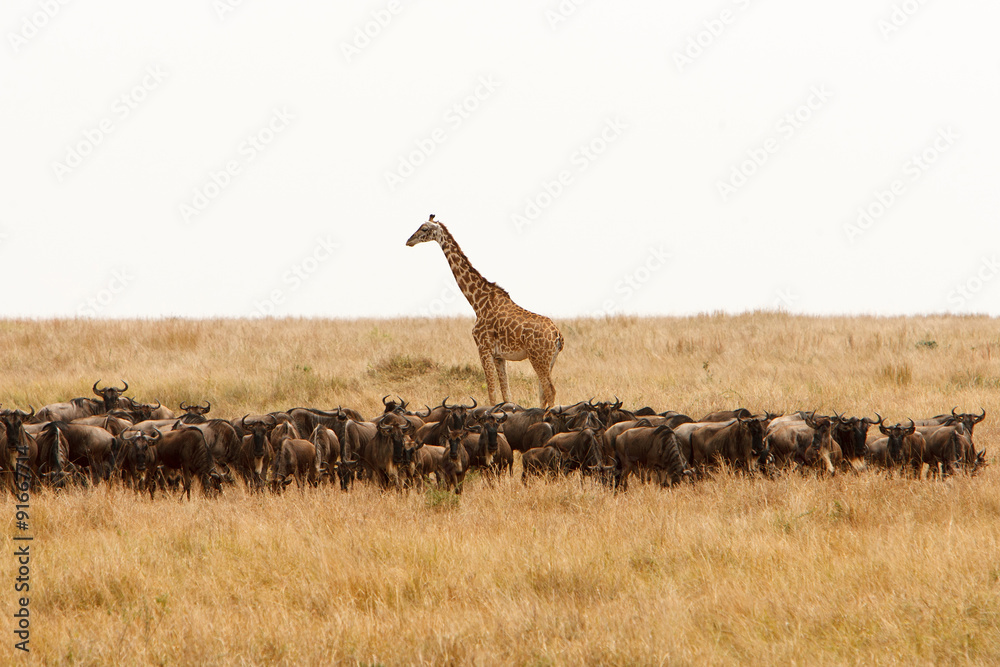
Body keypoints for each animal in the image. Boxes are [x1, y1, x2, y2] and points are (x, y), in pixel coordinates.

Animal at [406, 217, 564, 410]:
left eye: (424, 228)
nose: (409, 241)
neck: (478, 302)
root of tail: (558, 335)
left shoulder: (483, 348)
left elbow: (492, 394)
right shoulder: (499, 356)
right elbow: (506, 395)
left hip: (539, 358)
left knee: (550, 391)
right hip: (549, 360)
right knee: (543, 393)